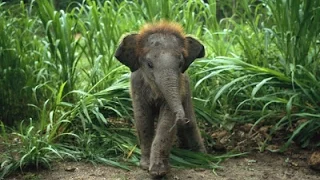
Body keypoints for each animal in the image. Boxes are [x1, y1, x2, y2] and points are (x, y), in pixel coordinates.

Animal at [114, 21, 206, 177]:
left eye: (180, 64)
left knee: (191, 125)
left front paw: (158, 172)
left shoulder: (179, 86)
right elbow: (142, 119)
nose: (182, 118)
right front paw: (145, 166)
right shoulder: (136, 86)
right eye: (149, 64)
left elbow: (166, 122)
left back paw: (202, 156)